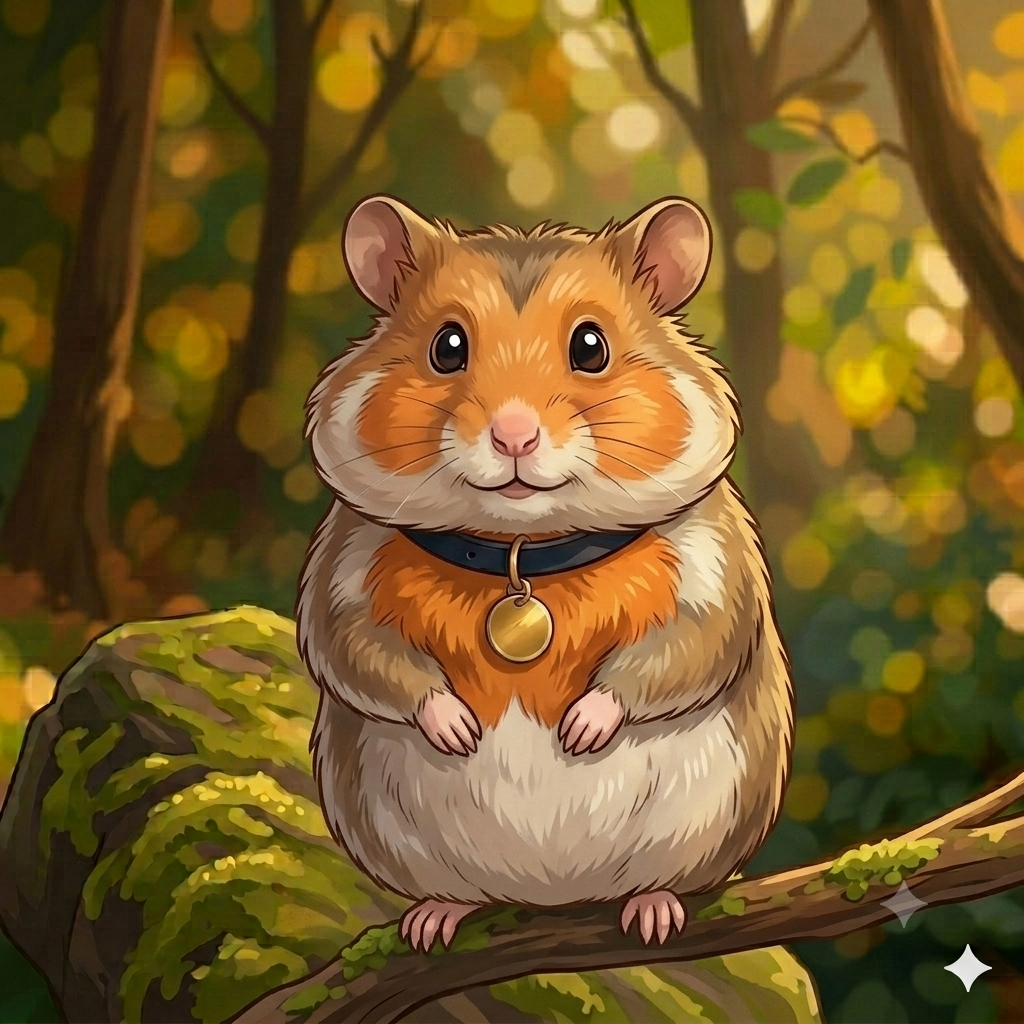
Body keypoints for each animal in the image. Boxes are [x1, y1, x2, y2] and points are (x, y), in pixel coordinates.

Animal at [296, 193, 794, 954]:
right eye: (447, 347)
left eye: (591, 347)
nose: (513, 436)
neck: (521, 551)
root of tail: (552, 897)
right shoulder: (340, 575)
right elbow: (361, 655)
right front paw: (461, 732)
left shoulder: (714, 577)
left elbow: (681, 651)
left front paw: (578, 732)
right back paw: (431, 923)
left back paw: (654, 914)